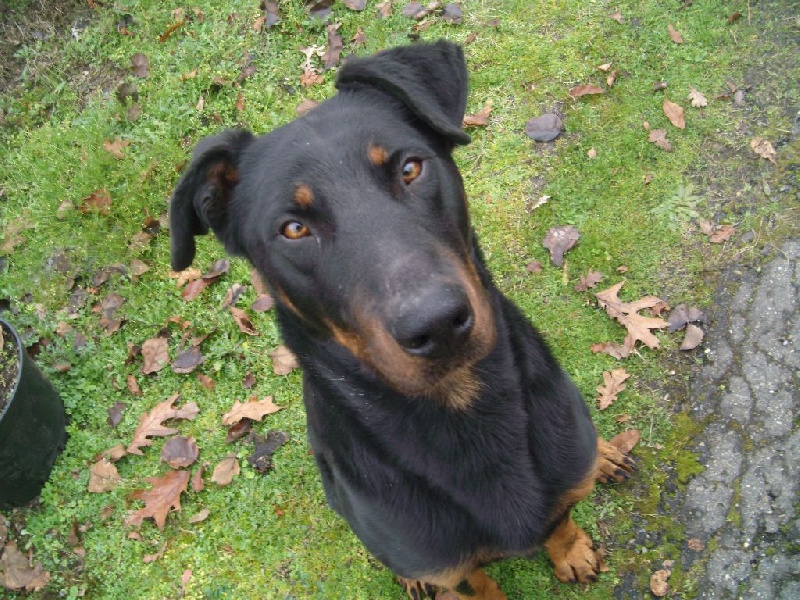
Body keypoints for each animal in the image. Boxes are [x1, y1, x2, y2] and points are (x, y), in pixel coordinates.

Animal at [170, 39, 636, 596]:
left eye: (411, 168)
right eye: (294, 228)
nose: (437, 324)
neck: (466, 409)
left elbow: (561, 517)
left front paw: (571, 550)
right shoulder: (449, 566)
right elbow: (474, 584)